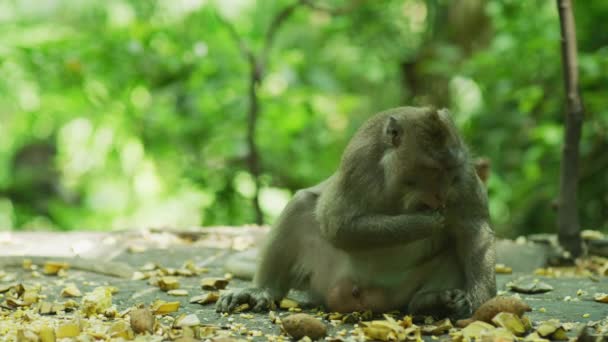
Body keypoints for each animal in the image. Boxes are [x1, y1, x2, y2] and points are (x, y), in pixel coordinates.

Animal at [216, 107, 496, 318]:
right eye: (432, 170)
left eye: (451, 172)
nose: (441, 196)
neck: (399, 188)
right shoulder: (360, 163)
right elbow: (338, 225)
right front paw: (424, 223)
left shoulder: (465, 174)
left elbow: (473, 229)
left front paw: (478, 300)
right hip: (323, 276)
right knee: (301, 205)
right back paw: (262, 290)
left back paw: (431, 301)